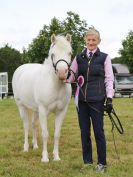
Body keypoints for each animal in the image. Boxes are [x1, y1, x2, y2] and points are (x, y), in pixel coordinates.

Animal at [12, 34, 72, 162]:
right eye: (53, 54)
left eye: (70, 53)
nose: (62, 73)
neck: (55, 85)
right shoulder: (43, 110)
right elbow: (45, 134)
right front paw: (45, 158)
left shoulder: (61, 111)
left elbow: (57, 134)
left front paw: (56, 157)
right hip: (21, 106)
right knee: (26, 125)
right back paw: (26, 148)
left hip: (36, 110)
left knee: (33, 124)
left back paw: (35, 146)